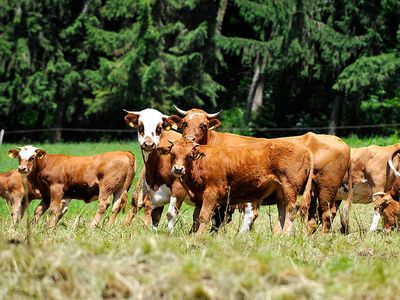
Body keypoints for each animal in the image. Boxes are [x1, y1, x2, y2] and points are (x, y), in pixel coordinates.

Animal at [7, 146, 136, 227]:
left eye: (32, 157)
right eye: (19, 157)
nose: (22, 168)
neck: (45, 164)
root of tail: (124, 153)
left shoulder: (56, 189)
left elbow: (54, 209)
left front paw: (49, 227)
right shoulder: (47, 194)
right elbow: (38, 210)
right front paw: (33, 227)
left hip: (107, 187)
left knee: (103, 205)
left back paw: (92, 226)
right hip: (121, 189)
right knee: (116, 206)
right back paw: (109, 226)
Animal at [158, 138, 314, 234]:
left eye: (189, 155)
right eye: (172, 153)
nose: (178, 169)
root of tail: (305, 149)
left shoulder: (211, 194)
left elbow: (203, 217)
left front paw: (197, 237)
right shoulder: (200, 198)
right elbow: (196, 218)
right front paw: (192, 234)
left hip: (290, 188)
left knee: (291, 210)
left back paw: (284, 234)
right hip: (280, 193)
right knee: (282, 213)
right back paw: (277, 235)